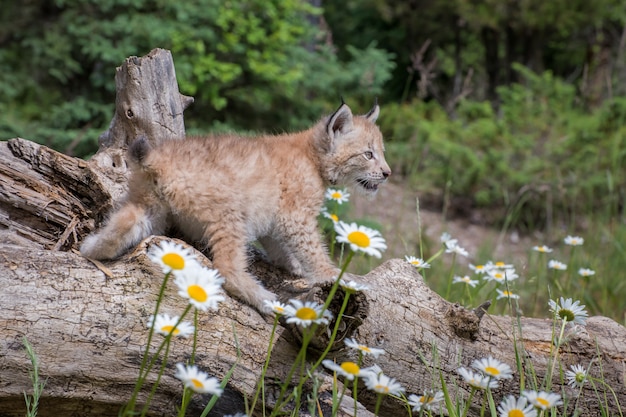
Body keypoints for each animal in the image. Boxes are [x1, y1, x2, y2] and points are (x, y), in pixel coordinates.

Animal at [80, 101, 388, 312]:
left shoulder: (276, 217)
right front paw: (337, 278)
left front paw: (294, 265)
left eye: (381, 153)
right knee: (226, 268)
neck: (312, 157)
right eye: (368, 154)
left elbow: (279, 245)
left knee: (119, 227)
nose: (387, 173)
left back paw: (90, 248)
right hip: (229, 211)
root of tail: (157, 158)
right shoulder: (295, 217)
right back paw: (265, 299)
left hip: (150, 208)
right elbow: (314, 251)